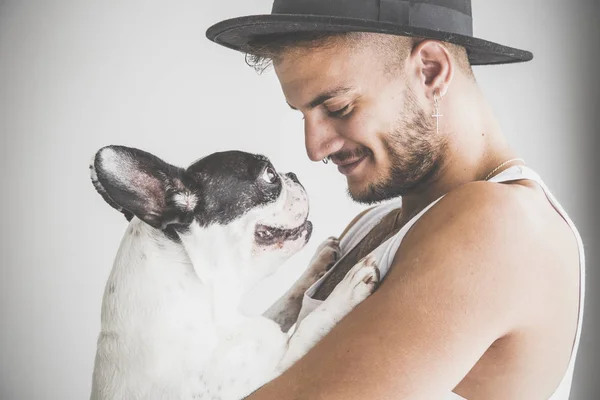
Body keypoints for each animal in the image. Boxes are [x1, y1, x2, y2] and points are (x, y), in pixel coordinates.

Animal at [89, 146, 380, 400]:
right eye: (270, 175)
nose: (293, 175)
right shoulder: (277, 364)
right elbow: (312, 323)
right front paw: (347, 290)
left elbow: (287, 302)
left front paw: (319, 262)